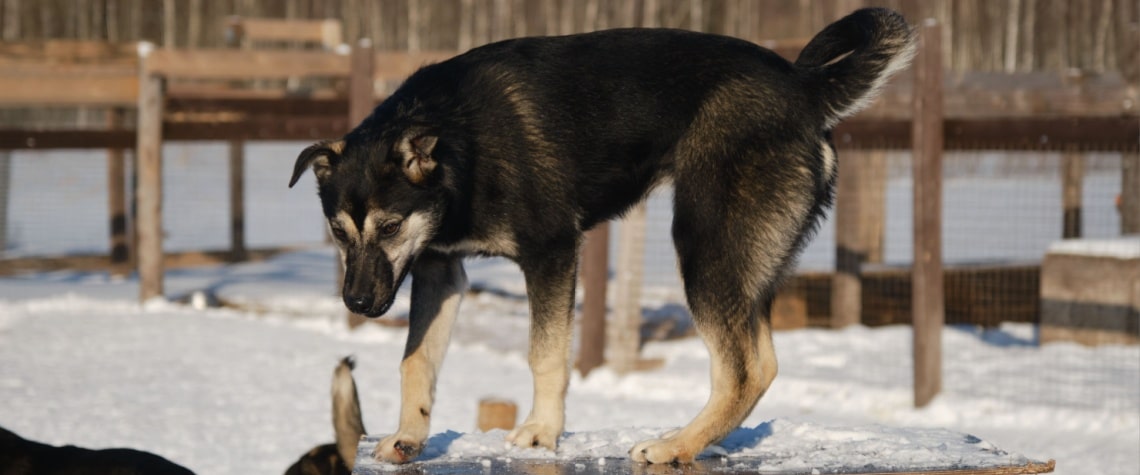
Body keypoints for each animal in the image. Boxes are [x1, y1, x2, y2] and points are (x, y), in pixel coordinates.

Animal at [291, 9, 916, 464]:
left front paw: (541, 432)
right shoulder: (439, 269)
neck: (459, 146)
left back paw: (674, 446)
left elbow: (545, 355)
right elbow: (416, 360)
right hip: (744, 266)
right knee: (753, 360)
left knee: (746, 368)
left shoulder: (550, 253)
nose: (358, 303)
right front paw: (408, 436)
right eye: (338, 232)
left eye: (390, 226)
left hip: (704, 247)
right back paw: (693, 439)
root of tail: (804, 88)